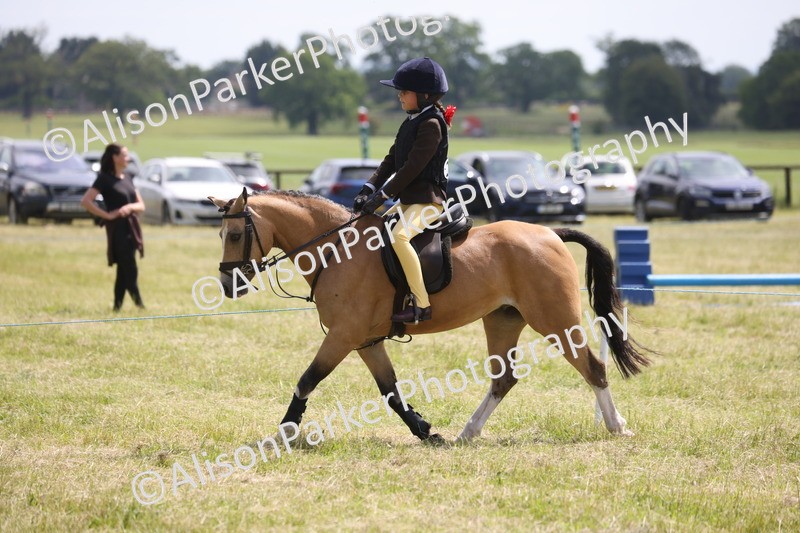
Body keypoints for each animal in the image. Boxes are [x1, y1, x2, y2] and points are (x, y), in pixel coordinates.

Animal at [208, 189, 651, 444]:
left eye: (235, 235)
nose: (229, 284)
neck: (338, 251)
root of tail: (551, 234)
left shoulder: (343, 335)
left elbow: (308, 379)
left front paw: (285, 430)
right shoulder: (364, 340)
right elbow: (390, 390)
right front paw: (424, 429)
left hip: (555, 321)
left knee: (592, 367)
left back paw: (616, 426)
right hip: (503, 320)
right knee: (503, 379)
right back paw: (467, 433)